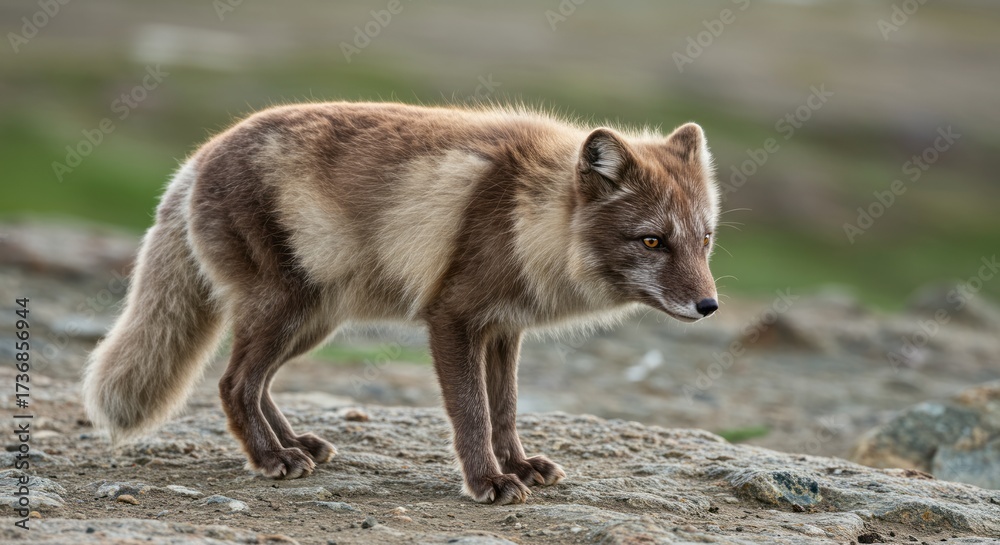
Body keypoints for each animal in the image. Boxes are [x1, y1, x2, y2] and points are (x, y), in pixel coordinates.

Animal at [82, 101, 720, 505]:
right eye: (652, 241)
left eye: (705, 239)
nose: (709, 306)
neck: (530, 214)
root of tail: (197, 157)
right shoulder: (452, 319)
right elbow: (472, 413)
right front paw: (486, 482)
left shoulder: (503, 330)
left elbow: (506, 410)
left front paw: (517, 467)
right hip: (286, 311)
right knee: (232, 383)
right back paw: (270, 459)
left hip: (313, 321)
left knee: (254, 384)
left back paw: (296, 446)